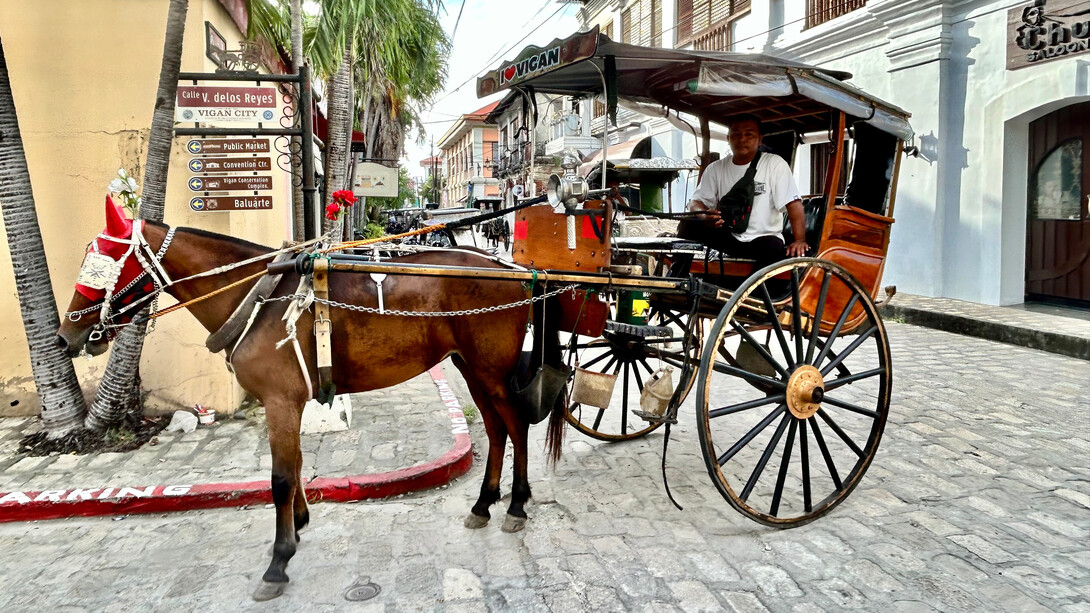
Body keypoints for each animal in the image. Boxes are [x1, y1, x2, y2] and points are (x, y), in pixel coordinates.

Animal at [56, 197, 566, 601]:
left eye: (103, 264)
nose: (66, 336)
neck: (256, 294)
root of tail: (515, 271)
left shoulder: (280, 401)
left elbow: (281, 478)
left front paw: (279, 559)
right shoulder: (287, 402)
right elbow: (298, 465)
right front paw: (299, 524)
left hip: (490, 370)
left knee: (516, 425)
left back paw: (516, 504)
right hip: (470, 367)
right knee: (497, 428)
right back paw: (484, 503)